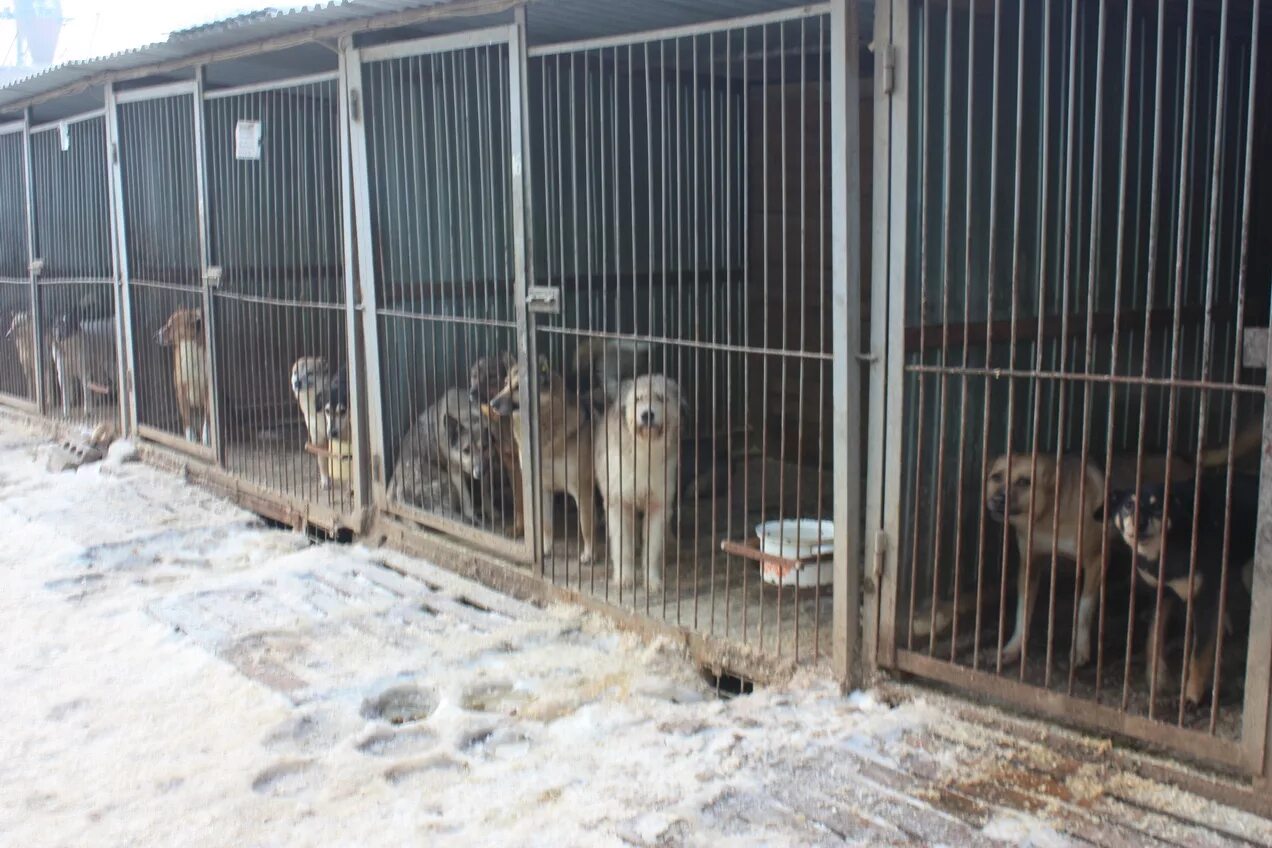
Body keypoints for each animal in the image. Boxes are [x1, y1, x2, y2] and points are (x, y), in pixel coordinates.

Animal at [156, 308, 211, 447]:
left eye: (170, 325)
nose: (155, 336)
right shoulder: (181, 391)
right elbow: (186, 418)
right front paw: (190, 438)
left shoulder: (208, 390)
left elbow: (208, 417)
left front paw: (206, 437)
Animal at [291, 358, 335, 490]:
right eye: (295, 372)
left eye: (310, 373)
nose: (297, 383)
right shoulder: (317, 436)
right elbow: (322, 461)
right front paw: (325, 480)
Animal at [490, 358, 600, 564]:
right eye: (505, 383)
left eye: (519, 388)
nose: (492, 403)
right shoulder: (543, 488)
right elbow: (546, 525)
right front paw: (545, 550)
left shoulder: (583, 489)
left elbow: (586, 525)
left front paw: (590, 554)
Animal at [595, 376, 686, 589]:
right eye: (637, 399)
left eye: (661, 398)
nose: (647, 415)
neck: (645, 448)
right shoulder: (618, 502)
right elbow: (622, 546)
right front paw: (624, 577)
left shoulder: (658, 504)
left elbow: (652, 549)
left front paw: (652, 580)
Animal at [1099, 475, 1256, 706]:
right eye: (1128, 505)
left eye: (1158, 507)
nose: (1140, 523)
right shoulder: (1161, 594)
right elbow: (1153, 637)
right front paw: (1157, 678)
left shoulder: (1204, 599)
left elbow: (1199, 654)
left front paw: (1192, 695)